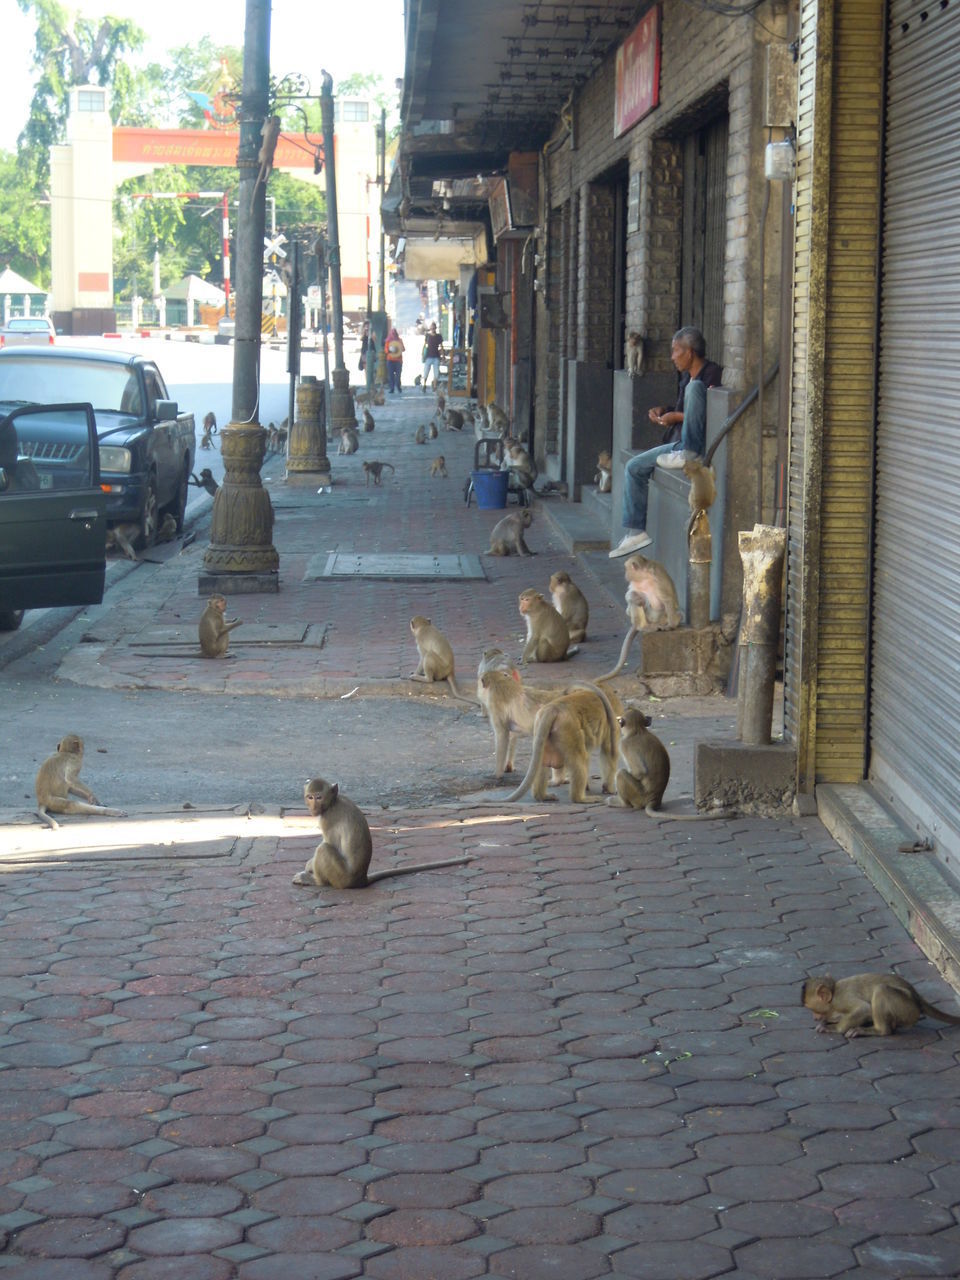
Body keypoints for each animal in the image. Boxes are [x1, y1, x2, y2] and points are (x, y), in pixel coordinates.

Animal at [293, 778, 473, 890]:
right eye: (309, 797)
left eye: (318, 797)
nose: (313, 807)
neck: (333, 803)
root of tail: (361, 879)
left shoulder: (327, 820)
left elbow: (329, 844)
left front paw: (309, 867)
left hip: (341, 877)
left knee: (324, 849)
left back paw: (316, 881)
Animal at [599, 555, 686, 686]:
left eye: (626, 569)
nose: (626, 575)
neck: (644, 576)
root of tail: (654, 622)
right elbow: (629, 603)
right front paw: (634, 597)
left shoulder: (658, 576)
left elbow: (668, 599)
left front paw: (671, 626)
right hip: (649, 618)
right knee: (637, 602)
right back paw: (642, 625)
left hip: (661, 617)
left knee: (675, 612)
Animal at [798, 967, 960, 1039]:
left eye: (812, 1009)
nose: (814, 1017)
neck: (834, 991)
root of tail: (916, 997)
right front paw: (827, 1022)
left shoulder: (841, 999)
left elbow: (864, 1009)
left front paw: (835, 1028)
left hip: (907, 1009)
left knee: (881, 990)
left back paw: (879, 1030)